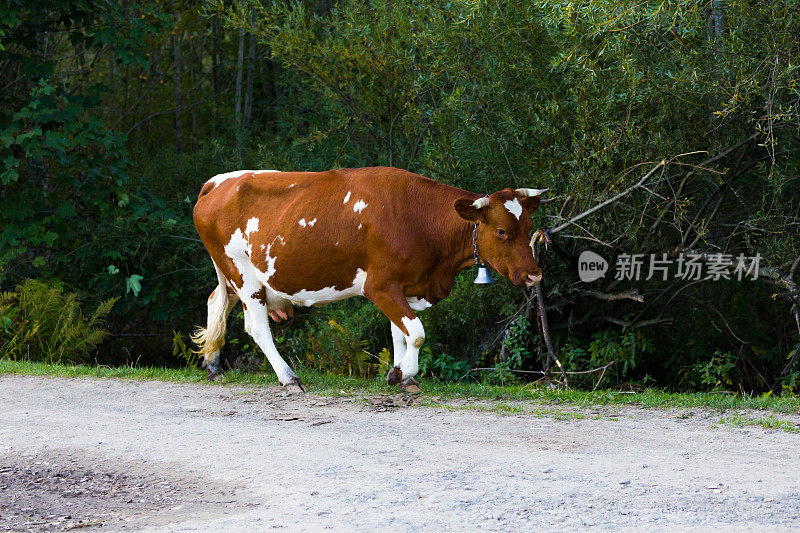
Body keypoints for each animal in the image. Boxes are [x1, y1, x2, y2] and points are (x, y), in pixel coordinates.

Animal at [191, 166, 548, 390]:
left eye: (528, 227)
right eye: (501, 231)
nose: (534, 275)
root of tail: (218, 181)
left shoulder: (406, 287)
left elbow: (400, 334)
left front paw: (405, 377)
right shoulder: (380, 286)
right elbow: (416, 332)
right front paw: (400, 374)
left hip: (232, 275)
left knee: (215, 302)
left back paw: (213, 366)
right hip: (242, 274)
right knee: (258, 327)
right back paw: (289, 378)